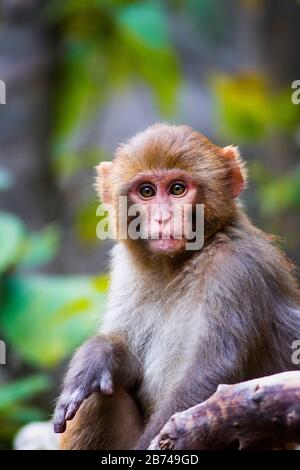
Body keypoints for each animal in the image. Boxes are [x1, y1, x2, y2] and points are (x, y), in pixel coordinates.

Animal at [52, 123, 300, 450]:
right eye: (146, 191)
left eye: (178, 189)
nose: (162, 217)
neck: (176, 266)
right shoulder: (126, 268)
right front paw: (99, 355)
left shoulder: (235, 269)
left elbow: (204, 380)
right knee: (98, 396)